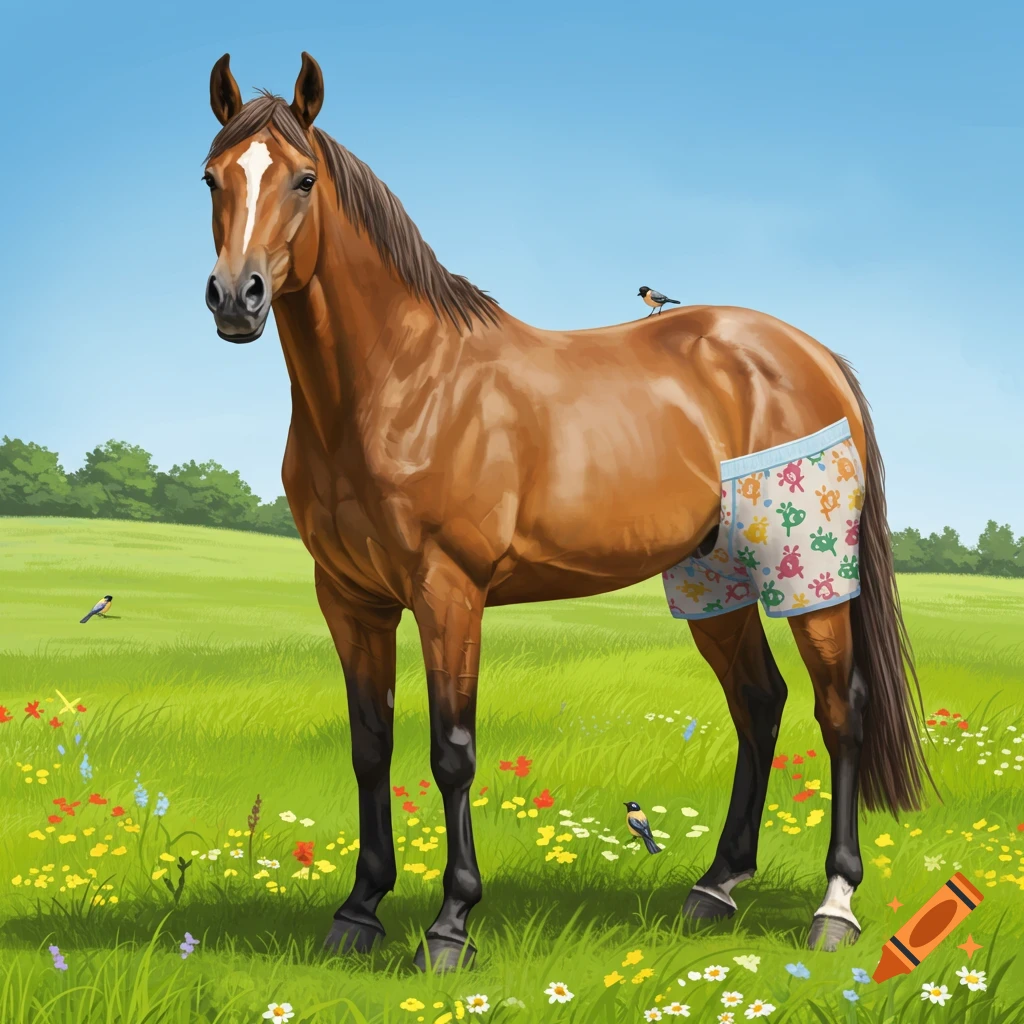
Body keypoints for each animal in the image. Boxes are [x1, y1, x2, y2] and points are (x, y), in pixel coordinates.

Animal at [201, 52, 931, 972]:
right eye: (212, 176)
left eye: (301, 179)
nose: (237, 298)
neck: (402, 385)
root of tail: (813, 354)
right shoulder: (350, 599)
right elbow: (370, 746)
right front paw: (359, 912)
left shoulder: (449, 594)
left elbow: (451, 752)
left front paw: (450, 927)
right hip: (713, 582)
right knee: (759, 704)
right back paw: (715, 887)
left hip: (810, 580)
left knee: (841, 711)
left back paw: (834, 906)